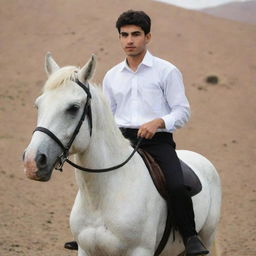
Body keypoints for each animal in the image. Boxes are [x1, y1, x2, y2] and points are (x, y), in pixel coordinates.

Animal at [23, 54, 221, 256]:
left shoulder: (140, 251)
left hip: (206, 236)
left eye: (73, 107)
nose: (32, 162)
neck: (101, 198)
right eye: (38, 105)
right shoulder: (86, 250)